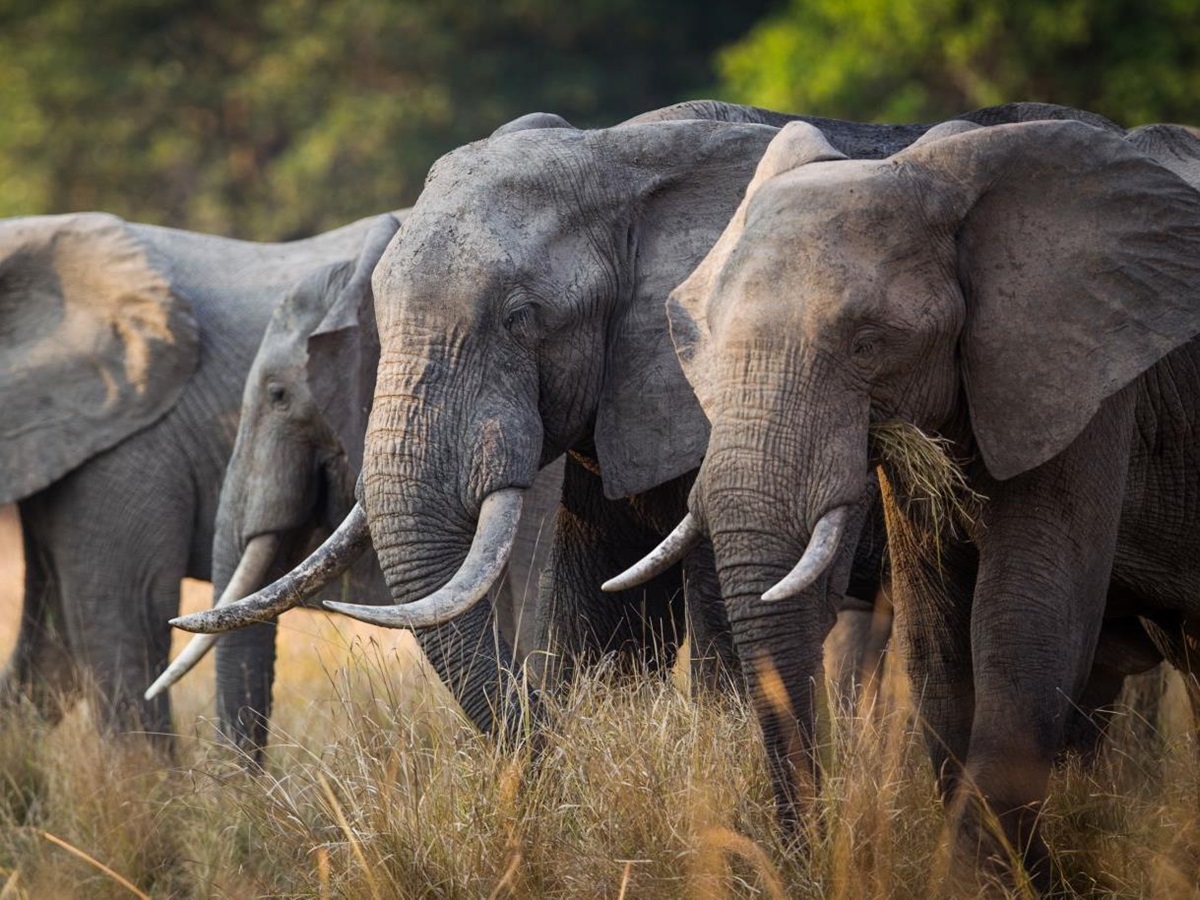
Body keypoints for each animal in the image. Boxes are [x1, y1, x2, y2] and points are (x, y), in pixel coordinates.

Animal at [644, 116, 1200, 891]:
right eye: (705, 343)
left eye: (868, 344)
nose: (802, 860)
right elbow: (936, 633)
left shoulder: (1088, 381)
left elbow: (1023, 618)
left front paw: (976, 884)